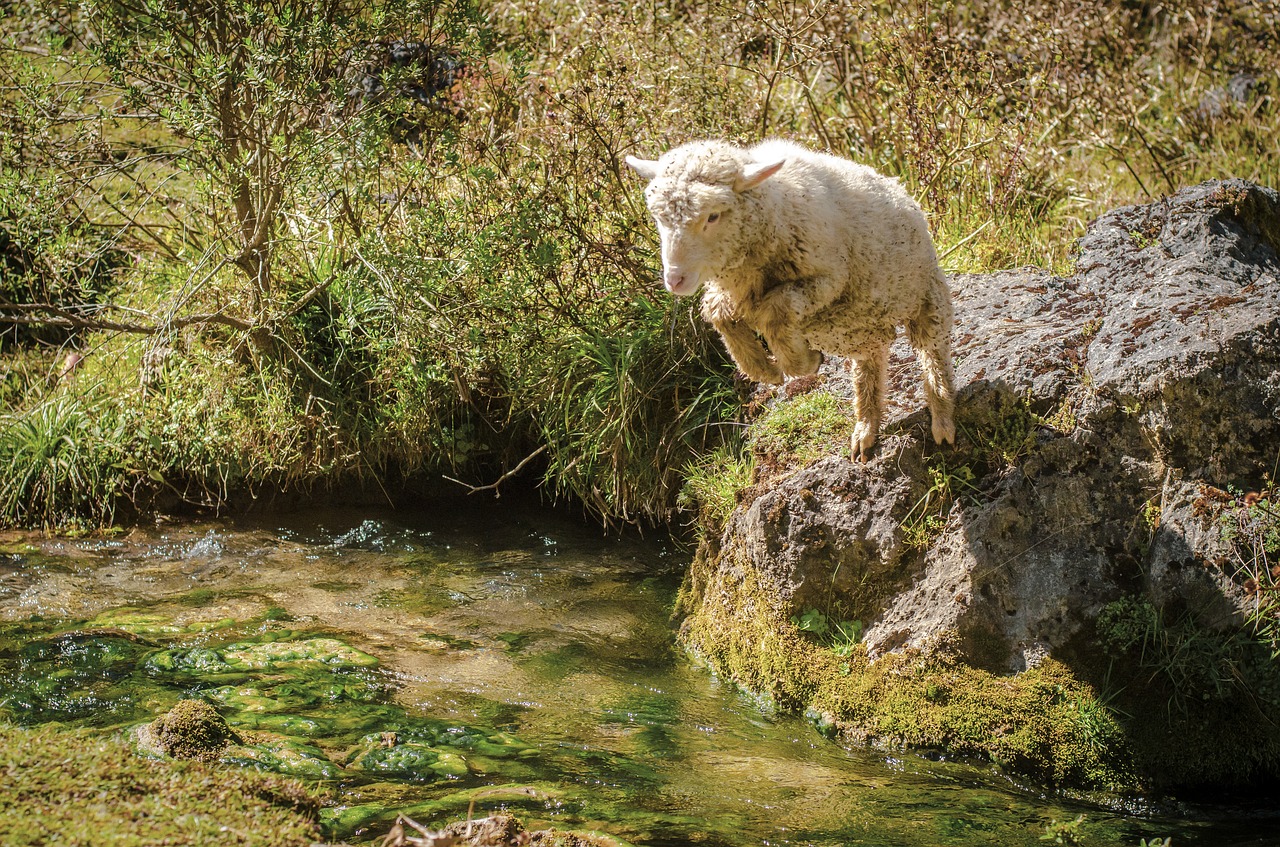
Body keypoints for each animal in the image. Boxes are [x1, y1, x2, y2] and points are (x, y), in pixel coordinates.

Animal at [624, 139, 957, 458]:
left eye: (713, 216)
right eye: (659, 218)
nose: (674, 280)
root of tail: (898, 187)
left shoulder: (828, 280)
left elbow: (777, 308)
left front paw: (803, 361)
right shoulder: (731, 291)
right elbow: (719, 313)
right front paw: (763, 369)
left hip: (925, 297)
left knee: (932, 355)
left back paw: (942, 420)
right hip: (860, 326)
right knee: (869, 364)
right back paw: (865, 429)